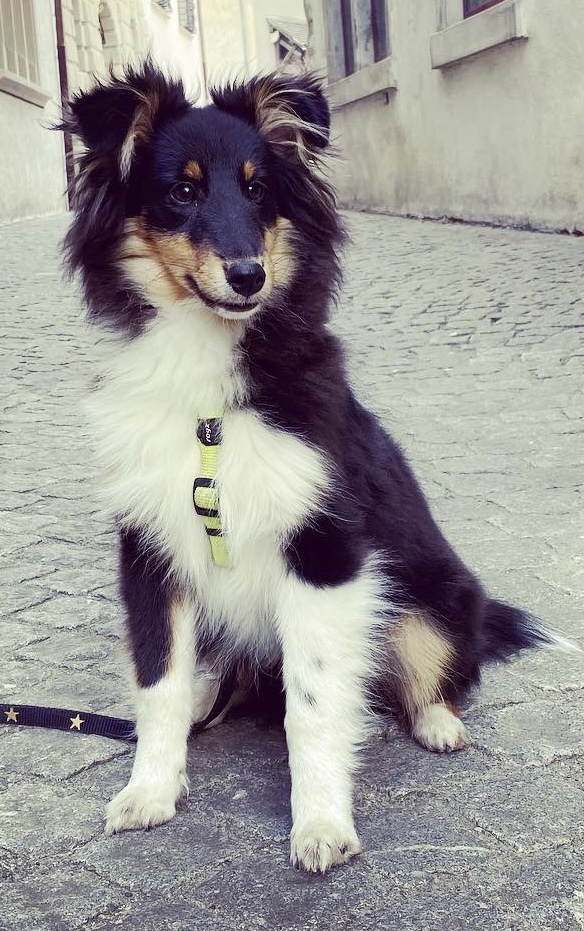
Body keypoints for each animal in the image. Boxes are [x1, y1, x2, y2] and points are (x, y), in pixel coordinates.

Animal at [59, 62, 560, 873]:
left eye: (259, 188)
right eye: (181, 191)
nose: (248, 276)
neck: (209, 397)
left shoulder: (324, 551)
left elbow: (316, 706)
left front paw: (321, 825)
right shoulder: (149, 550)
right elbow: (159, 682)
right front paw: (150, 791)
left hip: (424, 600)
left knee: (431, 674)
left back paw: (438, 723)